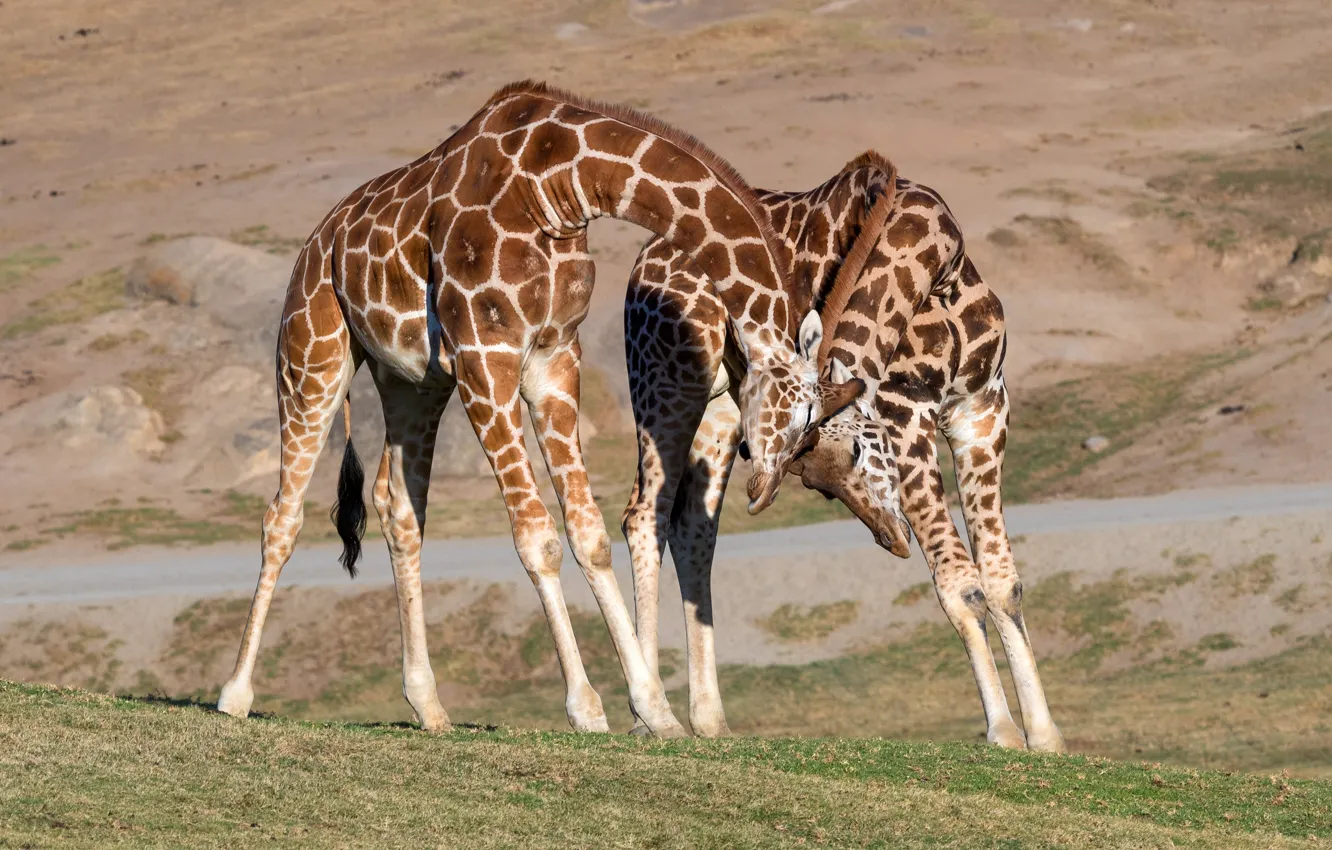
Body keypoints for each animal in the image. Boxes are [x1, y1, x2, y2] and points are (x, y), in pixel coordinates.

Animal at [214, 81, 862, 738]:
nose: (761, 491)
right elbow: (537, 537)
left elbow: (588, 533)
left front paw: (653, 708)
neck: (558, 184)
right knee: (282, 516)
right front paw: (588, 706)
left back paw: (429, 707)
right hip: (312, 354)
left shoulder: (553, 358)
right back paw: (235, 693)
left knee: (399, 511)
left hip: (410, 382)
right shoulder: (485, 356)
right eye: (803, 419)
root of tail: (318, 239)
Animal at [621, 161, 1065, 751]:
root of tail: (644, 259)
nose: (890, 538)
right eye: (819, 487)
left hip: (724, 406)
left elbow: (1001, 581)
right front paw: (1004, 732)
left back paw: (710, 720)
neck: (936, 265)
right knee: (643, 515)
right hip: (667, 380)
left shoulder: (984, 409)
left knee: (694, 527)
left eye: (851, 454)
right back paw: (649, 716)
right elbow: (959, 583)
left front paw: (1046, 736)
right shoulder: (906, 414)